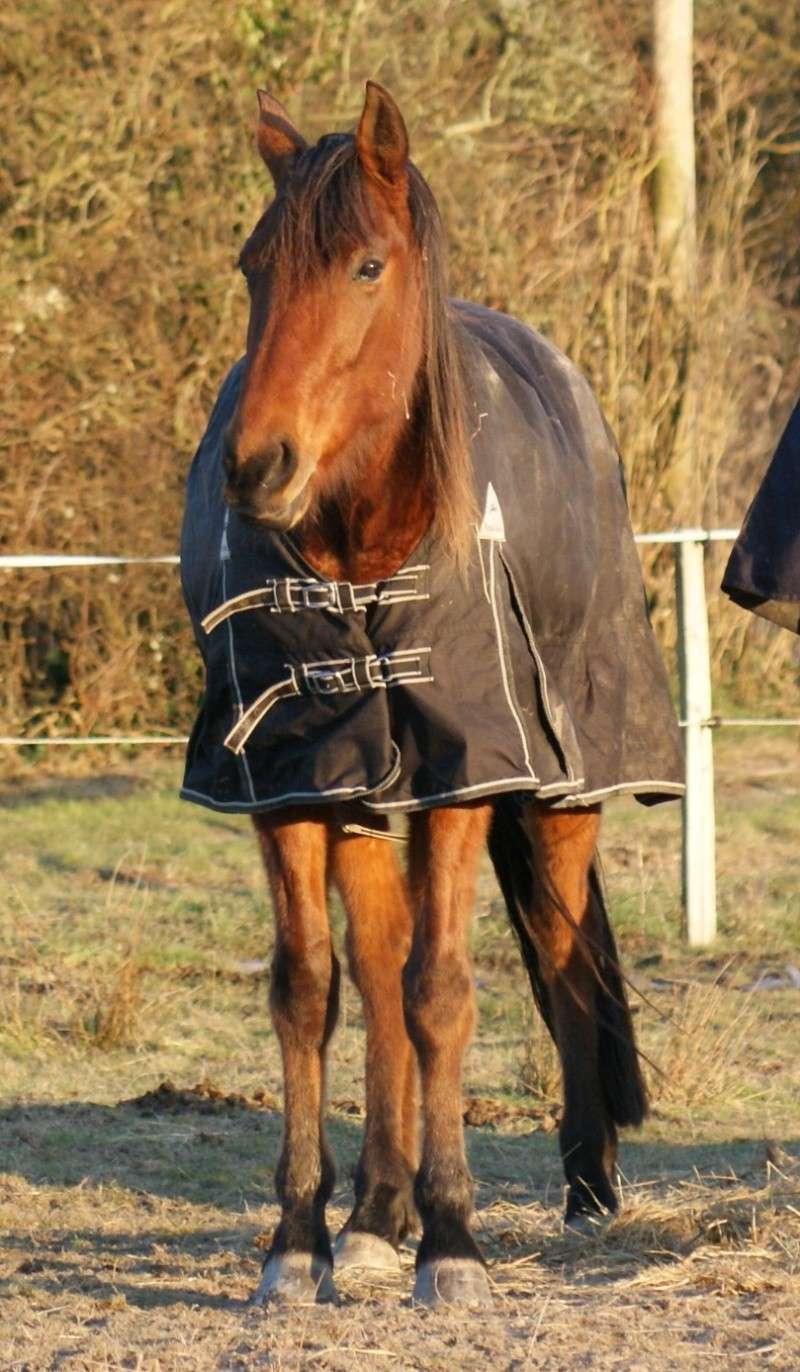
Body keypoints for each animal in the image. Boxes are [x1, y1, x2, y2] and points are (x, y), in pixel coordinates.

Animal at [214, 83, 658, 1306]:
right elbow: (312, 991)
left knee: (560, 956)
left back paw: (585, 1185)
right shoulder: (290, 780)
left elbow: (444, 992)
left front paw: (453, 1241)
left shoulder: (468, 772)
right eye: (252, 264)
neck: (364, 550)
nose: (255, 466)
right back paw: (377, 1213)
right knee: (376, 974)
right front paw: (303, 1237)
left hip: (558, 798)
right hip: (371, 796)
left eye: (367, 266)